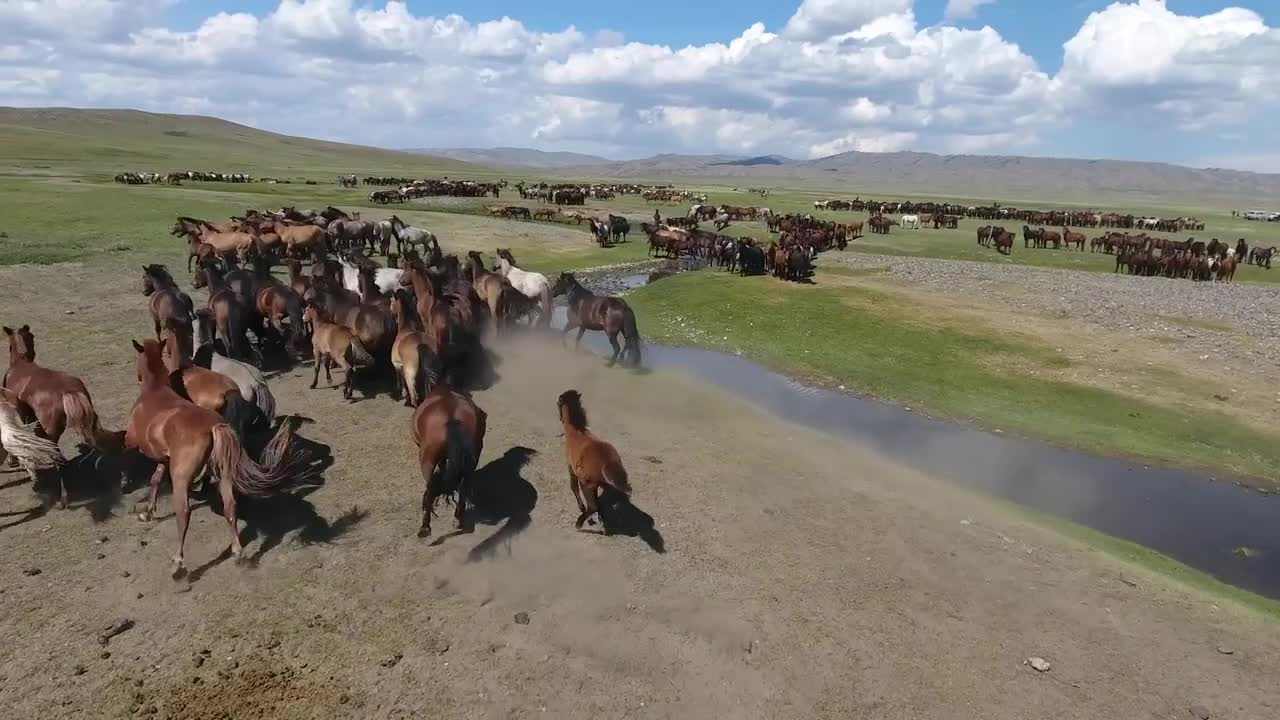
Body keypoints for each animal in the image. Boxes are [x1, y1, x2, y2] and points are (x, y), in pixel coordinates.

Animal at [2, 325, 119, 504]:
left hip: (53, 435)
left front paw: (14, 461)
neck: (20, 364)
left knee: (58, 460)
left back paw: (63, 498)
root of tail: (68, 391)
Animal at [124, 338, 304, 573]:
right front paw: (147, 511)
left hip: (182, 478)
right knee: (230, 505)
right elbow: (155, 479)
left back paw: (178, 563)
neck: (155, 390)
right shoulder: (164, 458)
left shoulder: (131, 442)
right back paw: (237, 551)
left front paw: (127, 485)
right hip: (224, 470)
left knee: (184, 513)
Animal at [412, 381, 486, 538]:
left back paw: (425, 528)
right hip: (472, 459)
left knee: (430, 489)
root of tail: (452, 417)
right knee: (463, 486)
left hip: (426, 460)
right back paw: (458, 518)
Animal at [558, 389, 632, 530]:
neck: (576, 432)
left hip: (586, 483)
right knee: (597, 505)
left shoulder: (572, 469)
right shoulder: (596, 484)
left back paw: (580, 523)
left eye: (558, 404)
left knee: (592, 506)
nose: (560, 419)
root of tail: (608, 461)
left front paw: (582, 509)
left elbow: (574, 488)